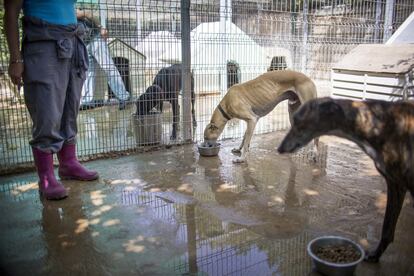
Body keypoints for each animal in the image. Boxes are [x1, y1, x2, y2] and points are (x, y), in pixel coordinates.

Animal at [276, 97, 414, 264]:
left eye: (298, 122)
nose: (279, 149)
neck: (377, 123)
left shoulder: (400, 184)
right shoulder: (395, 183)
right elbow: (387, 228)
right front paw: (375, 255)